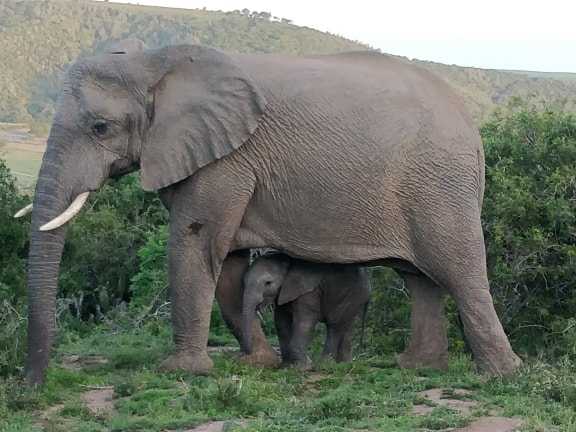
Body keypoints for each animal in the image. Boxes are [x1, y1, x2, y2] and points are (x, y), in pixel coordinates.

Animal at [241, 251, 372, 370]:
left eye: (268, 283)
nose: (249, 352)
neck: (287, 262)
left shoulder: (309, 291)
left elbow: (305, 321)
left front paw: (304, 368)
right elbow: (281, 321)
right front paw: (286, 367)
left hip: (352, 295)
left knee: (334, 324)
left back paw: (323, 365)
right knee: (347, 325)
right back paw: (344, 364)